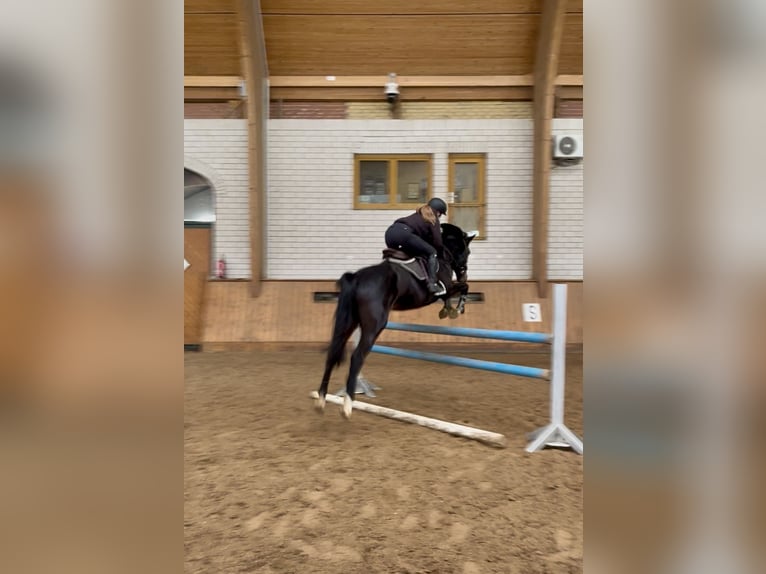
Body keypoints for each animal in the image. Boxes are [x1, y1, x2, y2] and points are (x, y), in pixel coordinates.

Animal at [312, 223, 475, 418]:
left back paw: (322, 400)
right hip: (374, 325)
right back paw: (348, 405)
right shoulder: (446, 288)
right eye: (467, 252)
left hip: (348, 322)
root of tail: (356, 278)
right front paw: (457, 309)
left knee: (332, 353)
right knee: (357, 357)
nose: (463, 273)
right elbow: (463, 288)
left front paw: (447, 310)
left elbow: (453, 295)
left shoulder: (446, 291)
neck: (442, 255)